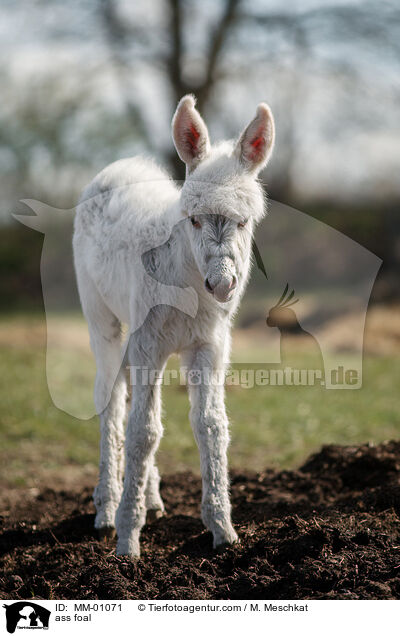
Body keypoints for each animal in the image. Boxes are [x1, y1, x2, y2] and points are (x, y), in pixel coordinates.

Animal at [73, 95, 276, 556]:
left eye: (244, 221)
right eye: (194, 219)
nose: (222, 284)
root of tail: (120, 167)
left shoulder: (208, 346)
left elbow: (211, 426)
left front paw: (223, 531)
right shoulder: (148, 342)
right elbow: (144, 432)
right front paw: (128, 541)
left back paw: (150, 496)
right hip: (102, 317)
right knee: (111, 399)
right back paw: (107, 507)